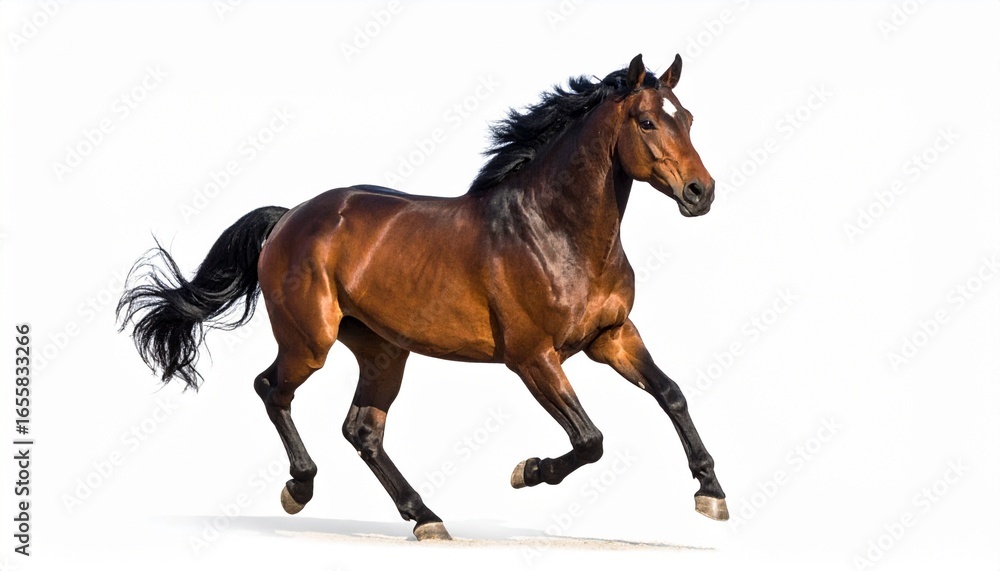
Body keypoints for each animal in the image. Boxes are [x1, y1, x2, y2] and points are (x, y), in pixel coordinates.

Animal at [117, 53, 728, 541]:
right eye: (647, 121)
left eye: (689, 119)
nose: (702, 193)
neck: (554, 230)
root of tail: (289, 217)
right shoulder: (532, 356)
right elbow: (590, 439)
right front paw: (527, 471)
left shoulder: (612, 336)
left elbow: (671, 394)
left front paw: (711, 493)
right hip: (309, 342)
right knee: (272, 389)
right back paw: (301, 489)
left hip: (383, 351)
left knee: (362, 430)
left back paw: (425, 517)